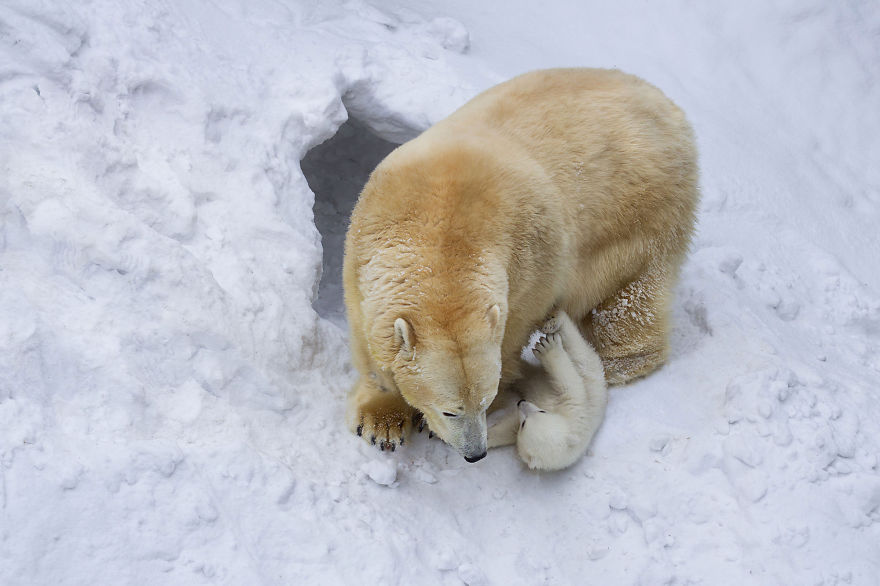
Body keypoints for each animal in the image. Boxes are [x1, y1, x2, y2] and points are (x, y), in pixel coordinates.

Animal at [342, 68, 698, 467]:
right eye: (451, 410)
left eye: (483, 402)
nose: (475, 454)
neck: (441, 232)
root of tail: (671, 110)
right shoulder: (365, 252)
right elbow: (370, 339)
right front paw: (382, 423)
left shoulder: (529, 271)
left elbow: (510, 340)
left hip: (639, 214)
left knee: (627, 301)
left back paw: (612, 362)